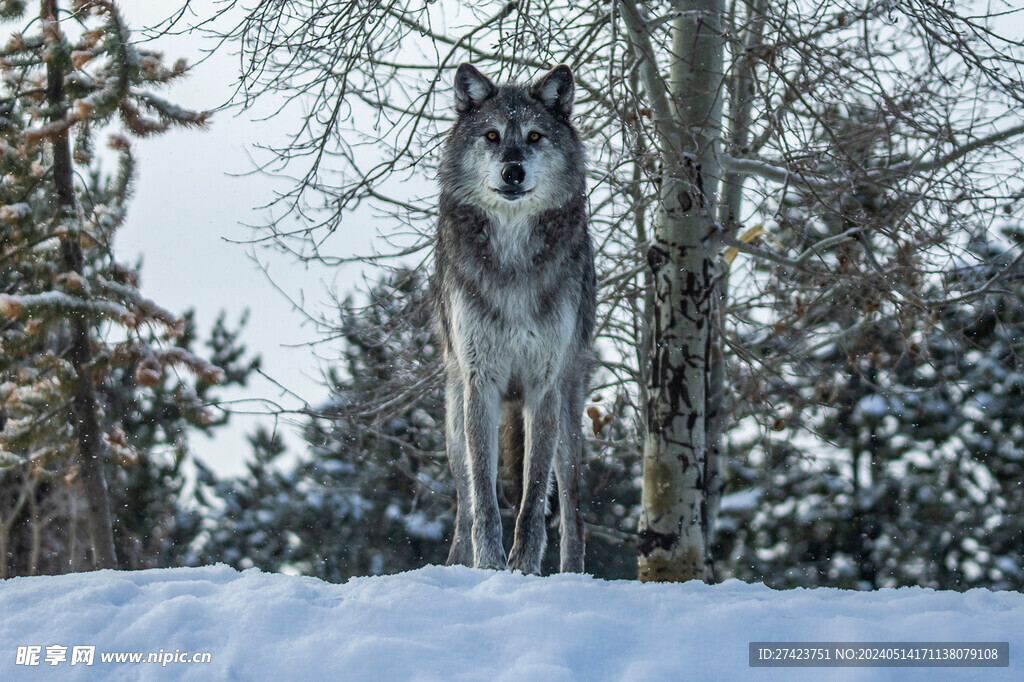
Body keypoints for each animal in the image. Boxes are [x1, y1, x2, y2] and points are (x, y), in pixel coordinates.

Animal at [430, 63, 593, 573]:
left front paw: (522, 565)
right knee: (463, 503)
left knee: (573, 513)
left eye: (535, 136)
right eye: (492, 135)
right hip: (455, 422)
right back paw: (456, 566)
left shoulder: (544, 385)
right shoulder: (480, 381)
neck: (514, 252)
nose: (513, 171)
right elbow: (484, 495)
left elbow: (534, 494)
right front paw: (490, 564)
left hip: (568, 419)